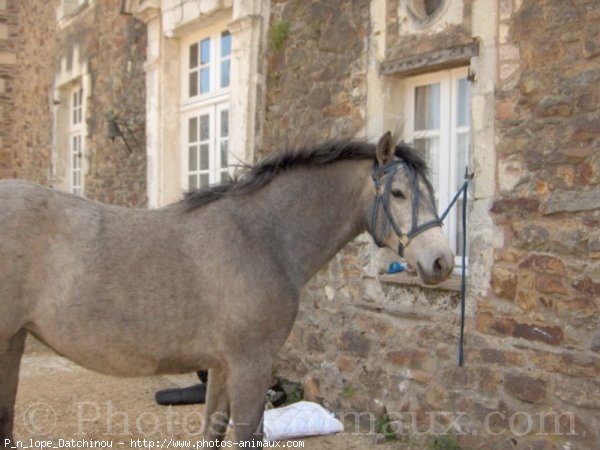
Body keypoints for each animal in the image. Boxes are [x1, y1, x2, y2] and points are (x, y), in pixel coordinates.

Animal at [0, 132, 450, 444]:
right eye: (398, 193)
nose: (442, 262)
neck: (262, 237)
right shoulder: (251, 365)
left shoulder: (221, 366)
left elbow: (212, 431)